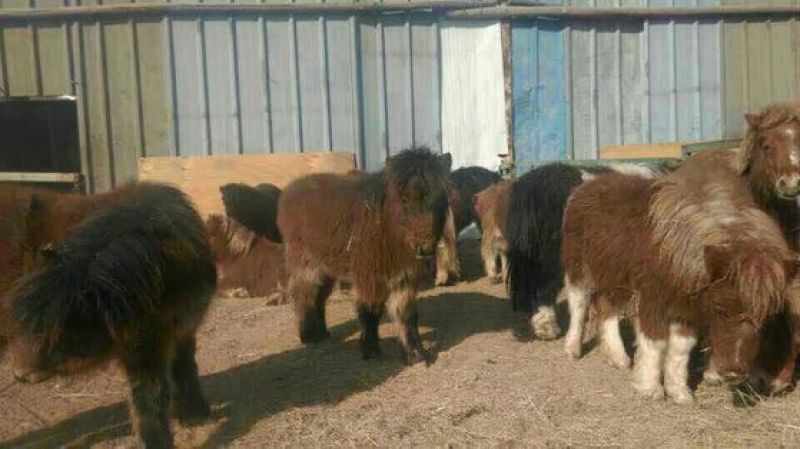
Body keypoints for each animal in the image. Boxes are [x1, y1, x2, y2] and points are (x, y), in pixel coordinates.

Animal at [1, 182, 216, 449]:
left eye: (58, 328)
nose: (20, 375)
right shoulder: (144, 347)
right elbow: (149, 397)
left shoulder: (181, 330)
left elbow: (184, 369)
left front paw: (196, 417)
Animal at [278, 147, 451, 364]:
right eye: (404, 199)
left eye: (439, 201)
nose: (424, 248)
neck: (387, 226)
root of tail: (292, 188)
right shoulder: (369, 276)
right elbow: (370, 310)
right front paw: (370, 349)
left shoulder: (405, 275)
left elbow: (407, 314)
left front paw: (415, 354)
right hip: (305, 261)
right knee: (303, 292)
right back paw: (308, 335)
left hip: (326, 265)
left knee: (319, 295)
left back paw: (323, 333)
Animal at [561, 170, 798, 403]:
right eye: (721, 310)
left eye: (766, 319)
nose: (733, 373)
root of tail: (589, 183)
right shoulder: (652, 302)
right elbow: (655, 343)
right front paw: (650, 389)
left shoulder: (686, 311)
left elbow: (681, 349)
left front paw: (680, 393)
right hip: (579, 267)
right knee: (579, 303)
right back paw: (573, 349)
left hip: (611, 278)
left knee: (606, 309)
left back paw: (619, 359)